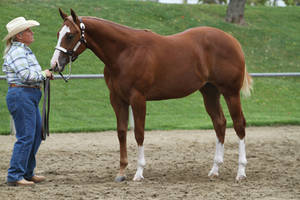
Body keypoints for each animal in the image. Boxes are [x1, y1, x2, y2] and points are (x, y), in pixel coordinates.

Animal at [51, 8, 253, 182]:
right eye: (58, 34)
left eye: (70, 35)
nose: (55, 65)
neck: (125, 52)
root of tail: (232, 40)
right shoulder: (117, 99)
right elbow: (121, 132)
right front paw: (121, 172)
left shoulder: (138, 98)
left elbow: (139, 133)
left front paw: (139, 172)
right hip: (210, 92)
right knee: (220, 123)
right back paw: (215, 170)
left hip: (230, 93)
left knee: (239, 125)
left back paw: (241, 172)